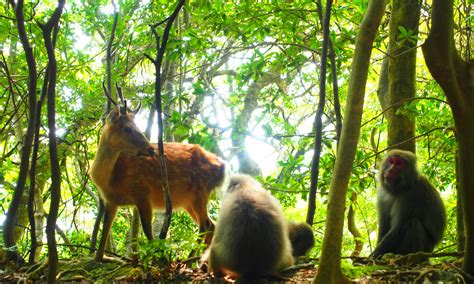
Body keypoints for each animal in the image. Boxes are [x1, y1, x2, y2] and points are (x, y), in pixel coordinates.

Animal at [91, 83, 228, 260]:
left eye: (137, 127)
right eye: (127, 129)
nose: (150, 149)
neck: (108, 178)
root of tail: (223, 168)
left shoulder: (142, 192)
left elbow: (147, 231)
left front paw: (158, 259)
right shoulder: (111, 200)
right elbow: (105, 230)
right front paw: (98, 258)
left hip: (200, 191)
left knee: (205, 225)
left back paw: (189, 260)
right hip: (189, 200)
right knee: (211, 225)